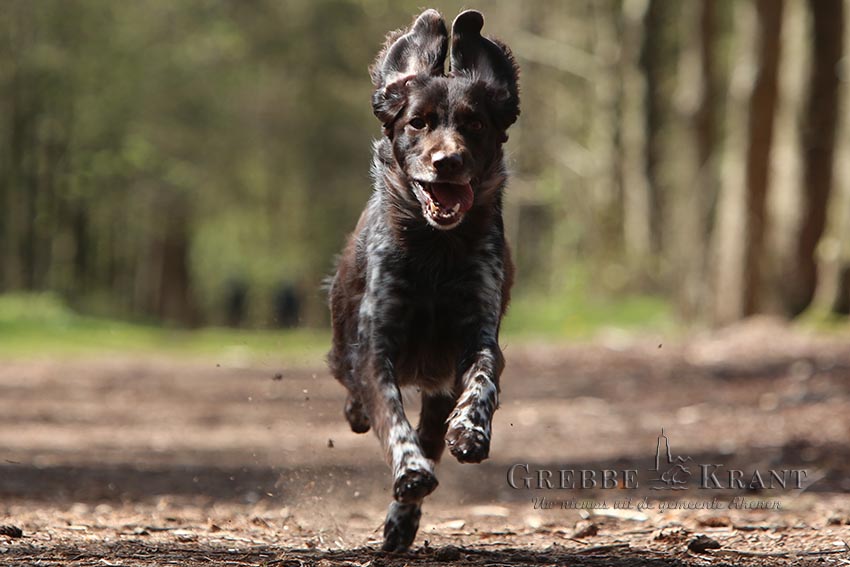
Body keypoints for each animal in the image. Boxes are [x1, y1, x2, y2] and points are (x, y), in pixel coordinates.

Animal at [327, 8, 519, 552]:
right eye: (418, 122)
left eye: (475, 124)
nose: (446, 162)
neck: (435, 252)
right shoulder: (376, 347)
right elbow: (391, 413)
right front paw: (409, 470)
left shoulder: (476, 339)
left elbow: (482, 382)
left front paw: (471, 432)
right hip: (343, 341)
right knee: (354, 390)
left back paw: (402, 521)